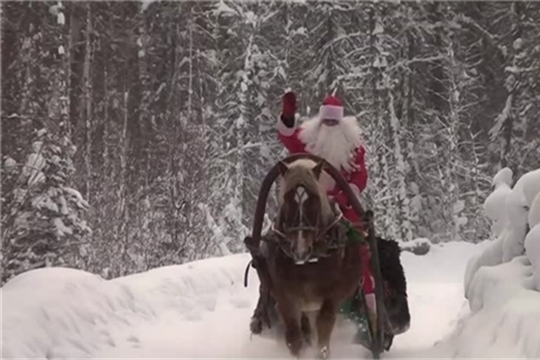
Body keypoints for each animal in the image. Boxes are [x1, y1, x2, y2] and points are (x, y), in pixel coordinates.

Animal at [260, 159, 364, 358]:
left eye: (314, 200)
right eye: (287, 199)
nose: (300, 250)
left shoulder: (333, 296)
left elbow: (324, 325)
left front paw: (321, 352)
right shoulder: (286, 297)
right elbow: (294, 338)